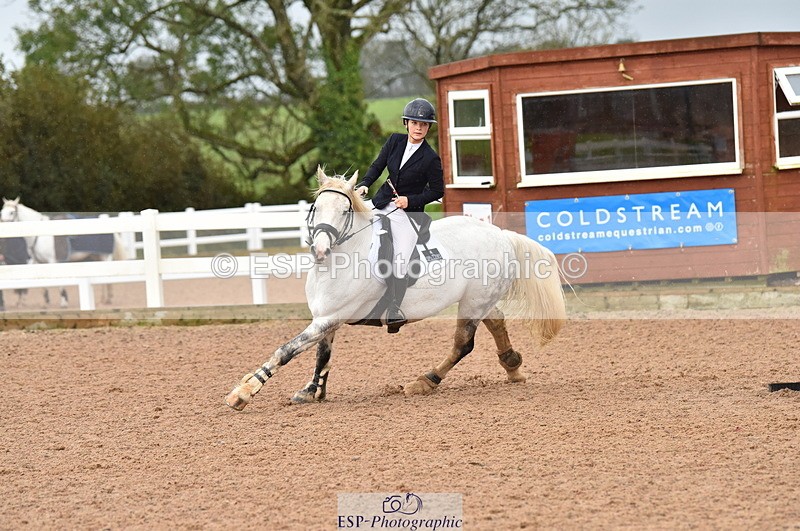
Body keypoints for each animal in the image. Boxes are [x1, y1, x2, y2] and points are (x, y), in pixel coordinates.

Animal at [0, 197, 128, 307]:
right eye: (2, 212)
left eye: (12, 212)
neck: (41, 235)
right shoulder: (39, 262)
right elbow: (42, 284)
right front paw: (45, 301)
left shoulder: (53, 261)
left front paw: (64, 301)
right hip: (96, 257)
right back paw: (103, 299)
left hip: (105, 257)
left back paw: (107, 299)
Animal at [225, 167, 566, 409]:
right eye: (315, 208)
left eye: (345, 211)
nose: (320, 250)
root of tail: (500, 234)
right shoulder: (326, 319)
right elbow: (322, 356)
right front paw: (311, 392)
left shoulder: (329, 318)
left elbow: (286, 350)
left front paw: (243, 392)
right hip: (479, 299)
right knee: (496, 321)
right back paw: (513, 366)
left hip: (472, 303)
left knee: (463, 344)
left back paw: (426, 381)